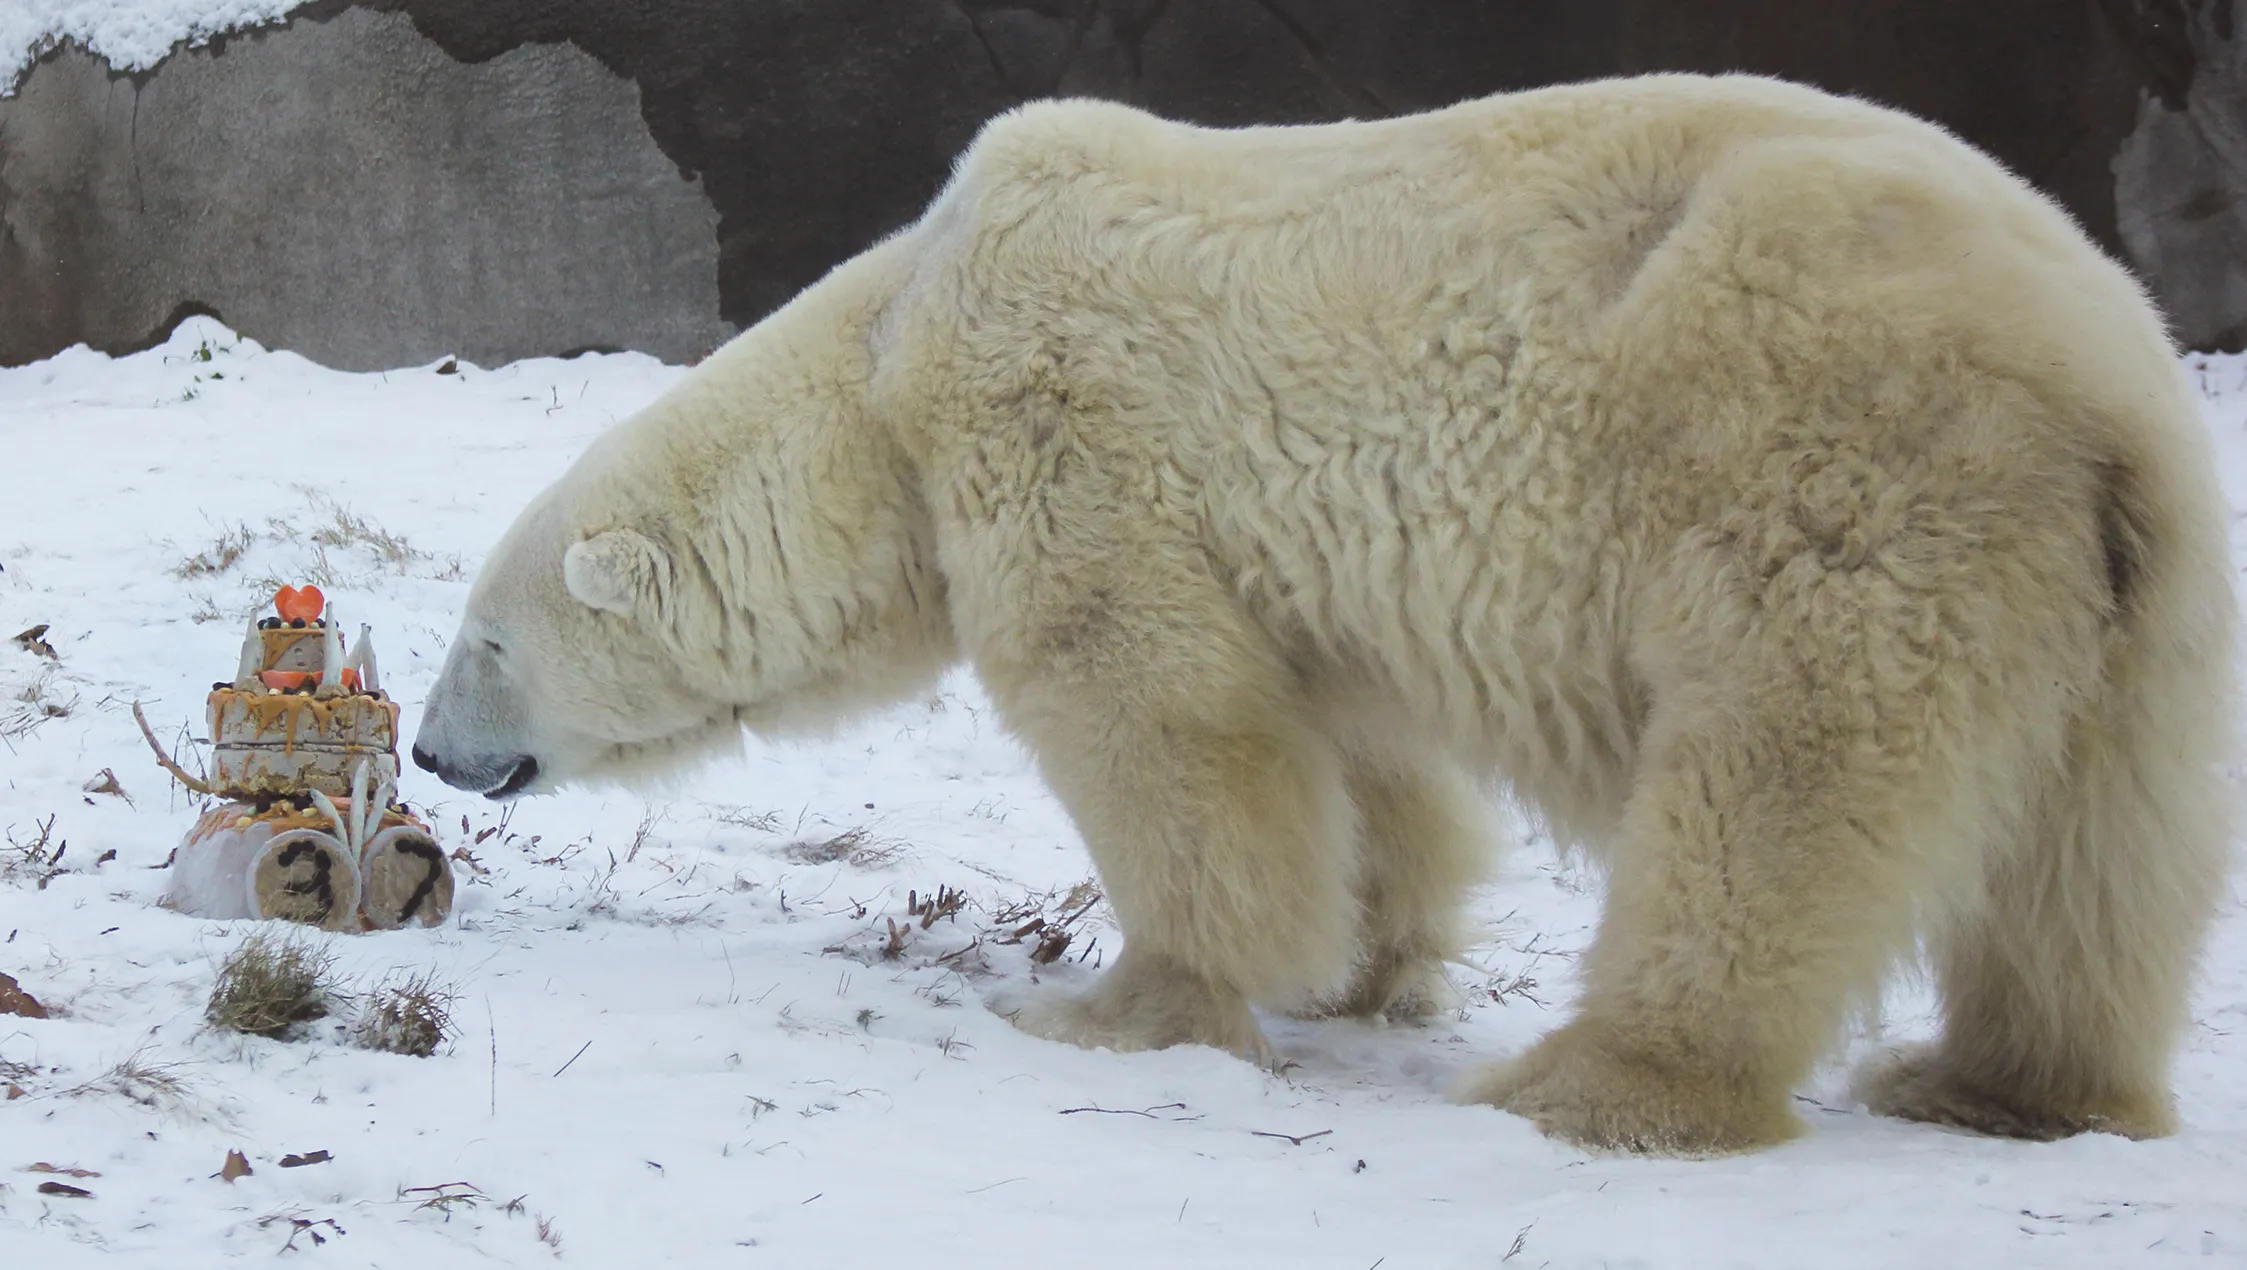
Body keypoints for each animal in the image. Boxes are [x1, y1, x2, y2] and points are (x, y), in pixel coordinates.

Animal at [413, 73, 2238, 1155]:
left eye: (483, 640)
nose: (430, 753)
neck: (882, 357)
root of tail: (2104, 383)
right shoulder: (1291, 564)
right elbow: (1350, 754)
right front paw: (1364, 965)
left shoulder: (1062, 427)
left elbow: (1153, 713)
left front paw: (1119, 1005)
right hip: (2124, 595)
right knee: (2097, 856)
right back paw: (1998, 1086)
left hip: (1837, 479)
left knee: (1776, 788)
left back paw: (1602, 1082)